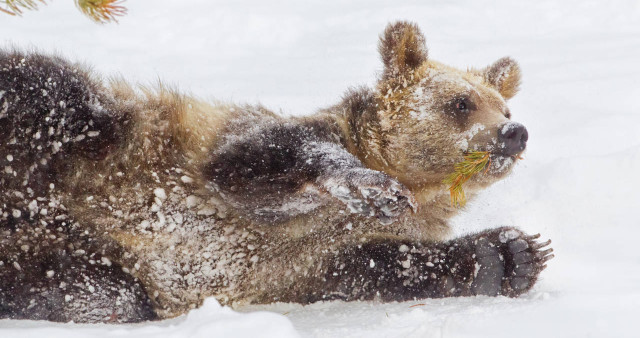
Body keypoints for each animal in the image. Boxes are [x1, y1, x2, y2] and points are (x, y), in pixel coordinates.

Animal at [0, 20, 552, 322]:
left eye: (503, 105)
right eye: (461, 102)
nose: (514, 132)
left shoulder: (313, 264)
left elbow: (385, 264)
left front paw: (513, 253)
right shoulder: (225, 150)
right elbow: (254, 165)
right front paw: (365, 184)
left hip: (69, 258)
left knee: (99, 293)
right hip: (89, 135)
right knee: (55, 92)